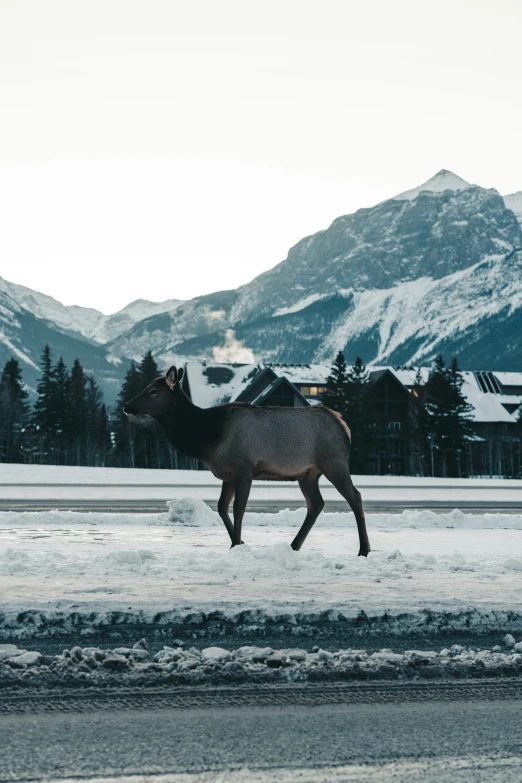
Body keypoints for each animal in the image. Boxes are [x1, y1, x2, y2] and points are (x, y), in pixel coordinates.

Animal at [123, 370, 368, 556]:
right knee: (316, 504)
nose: (127, 406)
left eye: (152, 392)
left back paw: (364, 549)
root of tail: (344, 426)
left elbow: (238, 508)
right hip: (308, 474)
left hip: (334, 462)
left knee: (355, 496)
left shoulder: (244, 468)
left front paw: (236, 543)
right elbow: (222, 507)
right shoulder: (228, 474)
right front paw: (238, 542)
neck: (207, 437)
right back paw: (294, 545)